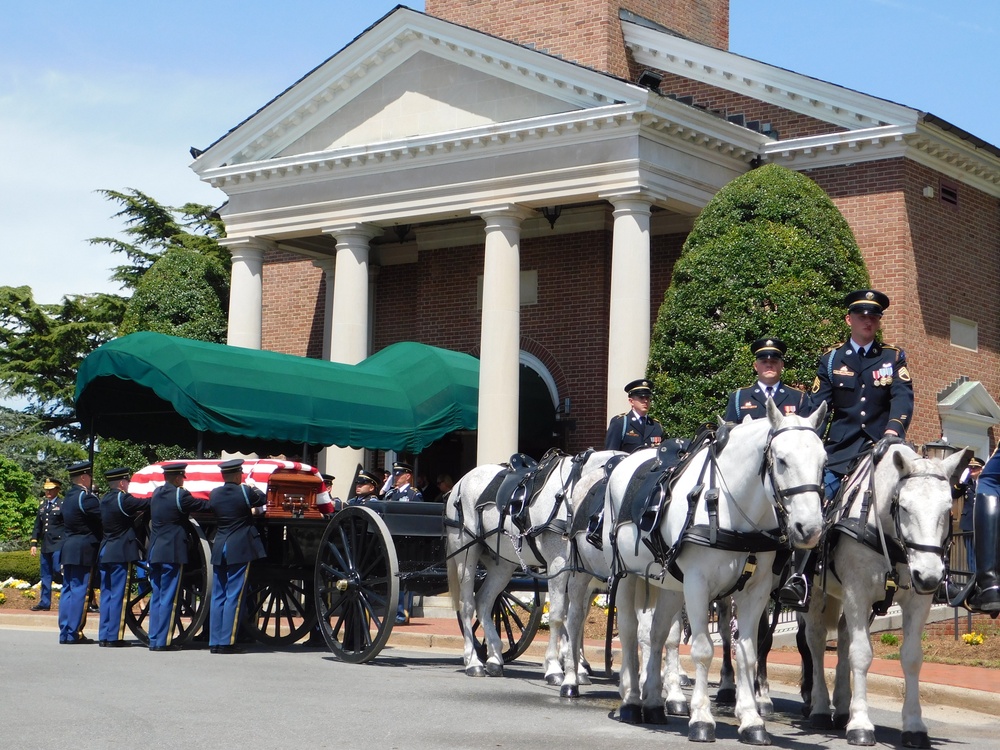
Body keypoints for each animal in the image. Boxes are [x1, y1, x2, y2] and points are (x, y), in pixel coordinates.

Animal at [446, 452, 616, 680]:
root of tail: (461, 482)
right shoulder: (558, 566)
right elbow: (558, 617)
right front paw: (555, 667)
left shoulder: (580, 575)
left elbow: (575, 619)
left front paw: (576, 668)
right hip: (466, 555)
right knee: (467, 605)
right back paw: (473, 662)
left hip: (503, 565)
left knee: (484, 601)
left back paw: (495, 658)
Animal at [604, 402, 824, 744]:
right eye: (782, 460)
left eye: (823, 460)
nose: (810, 529)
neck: (729, 506)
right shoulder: (697, 585)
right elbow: (703, 649)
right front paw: (702, 719)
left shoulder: (756, 591)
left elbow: (747, 651)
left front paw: (752, 720)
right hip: (627, 576)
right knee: (629, 632)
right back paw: (630, 701)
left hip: (669, 586)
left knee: (656, 635)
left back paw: (652, 703)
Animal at [796, 444, 968, 748]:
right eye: (905, 507)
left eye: (948, 508)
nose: (930, 576)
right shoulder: (857, 592)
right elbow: (862, 654)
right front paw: (861, 725)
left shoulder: (917, 601)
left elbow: (911, 657)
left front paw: (914, 726)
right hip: (816, 594)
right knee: (815, 641)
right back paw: (820, 707)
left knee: (842, 637)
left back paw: (842, 708)